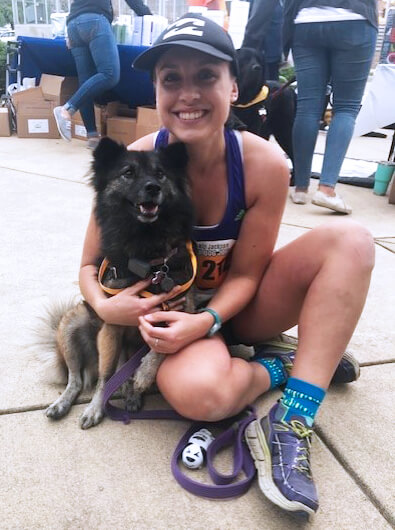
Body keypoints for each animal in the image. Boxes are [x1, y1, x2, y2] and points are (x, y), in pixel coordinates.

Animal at [40, 138, 196, 426]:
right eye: (128, 173)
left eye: (160, 173)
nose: (153, 187)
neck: (147, 249)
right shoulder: (112, 325)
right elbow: (106, 375)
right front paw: (96, 406)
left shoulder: (182, 314)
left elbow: (161, 350)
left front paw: (145, 374)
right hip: (71, 325)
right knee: (76, 378)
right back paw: (63, 402)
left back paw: (132, 391)